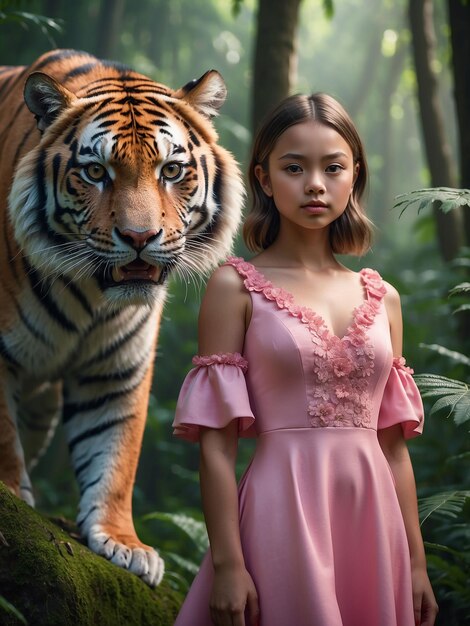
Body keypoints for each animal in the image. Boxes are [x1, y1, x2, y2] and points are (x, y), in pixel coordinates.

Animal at [0, 50, 242, 584]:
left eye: (171, 170)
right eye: (95, 172)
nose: (139, 237)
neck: (90, 292)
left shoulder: (116, 370)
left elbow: (115, 453)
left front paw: (122, 543)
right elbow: (1, 435)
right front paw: (7, 492)